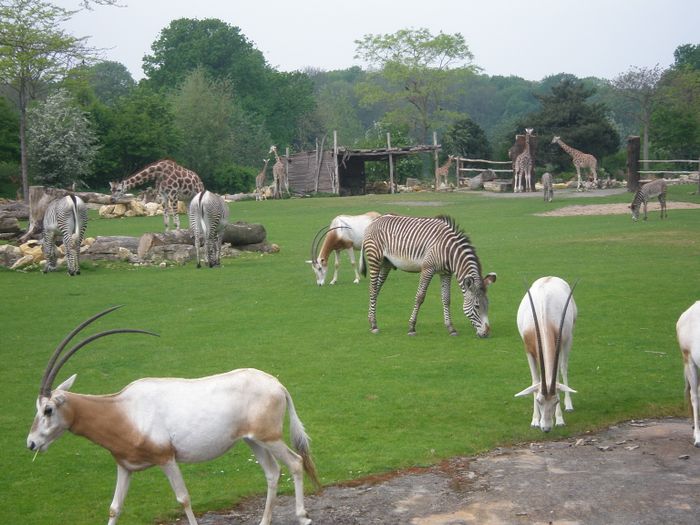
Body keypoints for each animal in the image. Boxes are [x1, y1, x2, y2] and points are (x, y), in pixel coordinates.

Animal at [26, 308, 322, 524]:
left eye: (48, 409)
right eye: (36, 408)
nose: (31, 443)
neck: (123, 410)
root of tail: (277, 384)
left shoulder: (167, 459)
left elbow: (183, 499)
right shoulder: (125, 466)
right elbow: (114, 508)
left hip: (269, 437)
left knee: (295, 463)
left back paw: (302, 516)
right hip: (253, 440)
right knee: (272, 473)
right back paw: (264, 521)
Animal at [360, 213, 498, 336]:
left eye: (488, 305)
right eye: (477, 306)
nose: (486, 333)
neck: (449, 252)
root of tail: (375, 220)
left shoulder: (446, 273)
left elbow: (446, 299)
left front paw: (451, 328)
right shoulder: (427, 269)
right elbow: (420, 297)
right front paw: (411, 327)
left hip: (386, 264)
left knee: (376, 290)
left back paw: (371, 321)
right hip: (375, 259)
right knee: (372, 289)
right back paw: (374, 325)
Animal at [516, 276, 576, 432]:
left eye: (556, 401)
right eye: (539, 401)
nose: (547, 428)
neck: (543, 317)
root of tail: (549, 277)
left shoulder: (559, 346)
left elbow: (557, 377)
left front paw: (560, 419)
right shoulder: (528, 350)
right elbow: (535, 381)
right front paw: (535, 420)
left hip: (568, 339)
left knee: (563, 368)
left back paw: (569, 405)